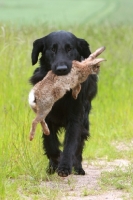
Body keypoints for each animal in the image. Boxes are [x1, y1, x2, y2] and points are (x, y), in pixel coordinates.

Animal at [29, 30, 97, 177]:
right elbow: (51, 144)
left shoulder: (76, 118)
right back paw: (52, 167)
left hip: (85, 121)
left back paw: (78, 168)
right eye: (52, 49)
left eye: (69, 49)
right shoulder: (46, 117)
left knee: (79, 146)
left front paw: (65, 167)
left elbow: (71, 145)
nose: (61, 69)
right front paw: (56, 161)